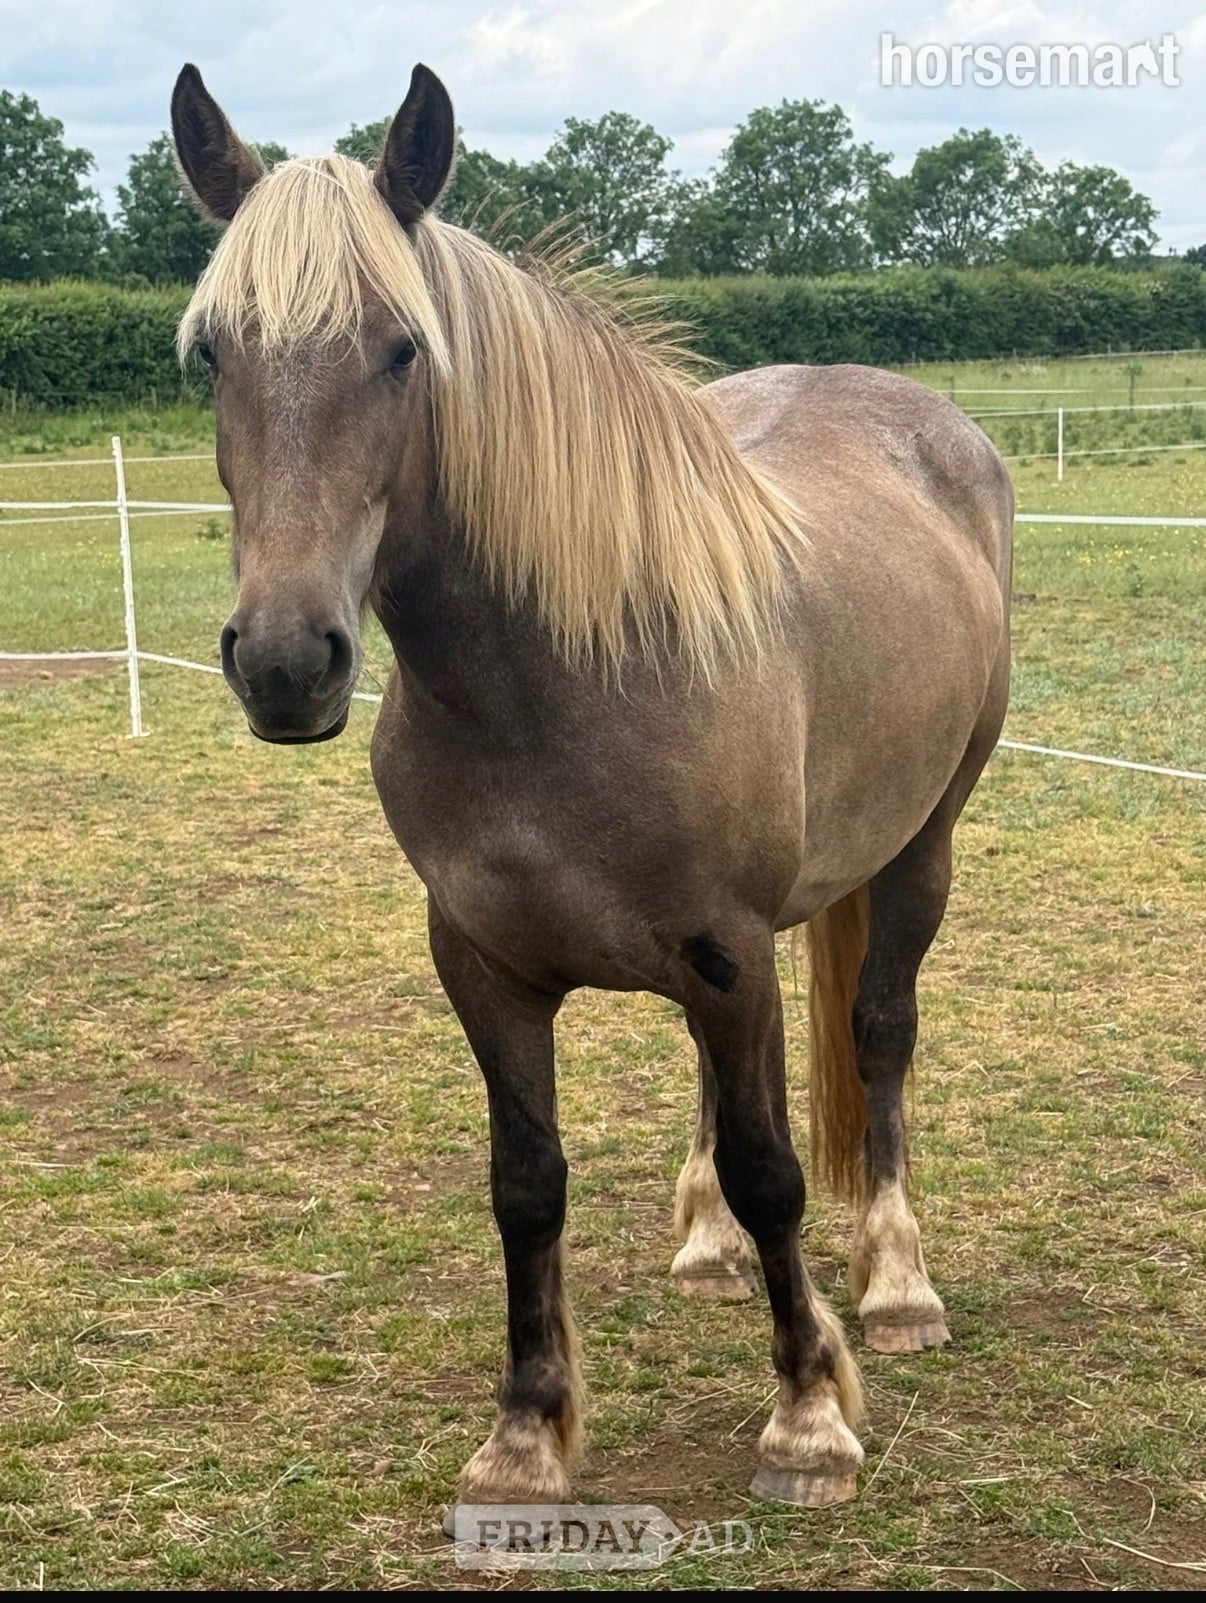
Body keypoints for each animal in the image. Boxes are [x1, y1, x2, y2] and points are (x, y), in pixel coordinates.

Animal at [171, 60, 1013, 1519]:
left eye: (402, 348)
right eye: (215, 349)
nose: (285, 660)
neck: (561, 680)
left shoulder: (729, 948)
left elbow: (777, 1167)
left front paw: (808, 1416)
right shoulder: (486, 960)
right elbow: (527, 1180)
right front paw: (525, 1432)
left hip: (919, 851)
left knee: (880, 1032)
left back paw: (898, 1283)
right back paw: (708, 1249)